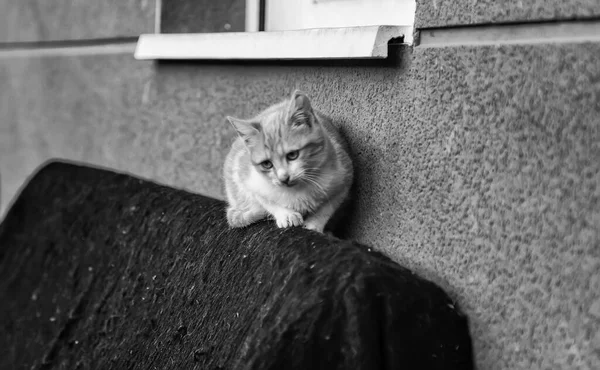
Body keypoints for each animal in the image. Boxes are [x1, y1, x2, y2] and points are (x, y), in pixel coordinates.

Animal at [224, 90, 356, 233]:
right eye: (267, 164)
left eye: (292, 155)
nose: (284, 178)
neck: (298, 191)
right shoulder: (248, 180)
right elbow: (266, 201)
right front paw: (286, 214)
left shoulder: (345, 175)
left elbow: (328, 207)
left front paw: (314, 225)